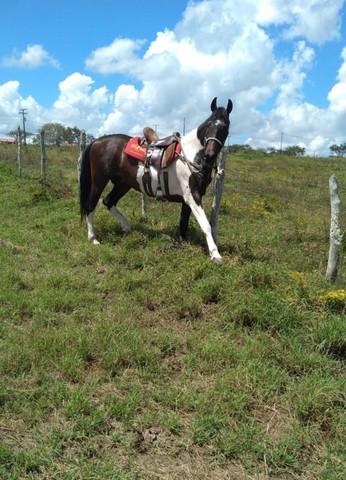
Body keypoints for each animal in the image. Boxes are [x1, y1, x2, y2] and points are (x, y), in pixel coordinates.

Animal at [79, 96, 232, 262]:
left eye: (225, 127)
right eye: (209, 124)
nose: (209, 155)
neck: (190, 156)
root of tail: (97, 141)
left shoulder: (189, 198)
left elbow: (183, 222)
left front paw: (182, 243)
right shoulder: (193, 196)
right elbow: (205, 224)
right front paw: (215, 254)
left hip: (122, 184)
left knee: (108, 201)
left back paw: (126, 227)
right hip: (99, 181)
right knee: (90, 205)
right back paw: (93, 238)